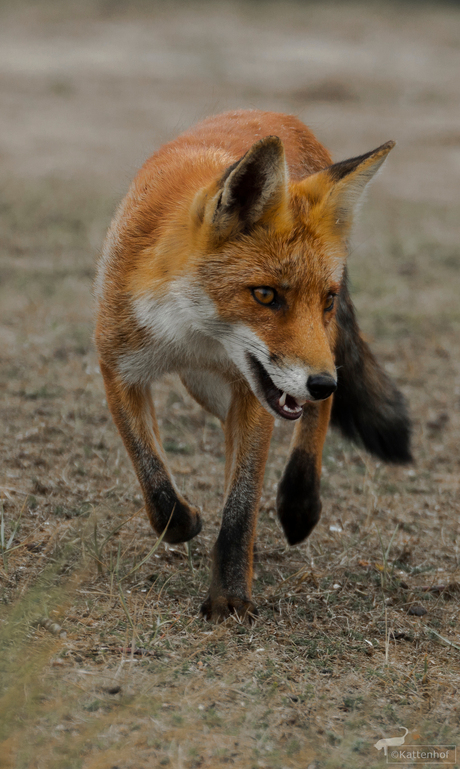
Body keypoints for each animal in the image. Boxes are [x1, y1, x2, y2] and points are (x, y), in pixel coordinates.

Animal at [94, 111, 410, 620]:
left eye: (325, 299)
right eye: (265, 295)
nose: (321, 383)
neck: (192, 336)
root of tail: (281, 116)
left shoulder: (257, 392)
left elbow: (241, 507)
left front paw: (229, 598)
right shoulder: (118, 366)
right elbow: (156, 484)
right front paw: (185, 524)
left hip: (307, 359)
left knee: (310, 424)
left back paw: (299, 501)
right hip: (207, 389)